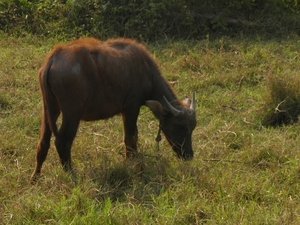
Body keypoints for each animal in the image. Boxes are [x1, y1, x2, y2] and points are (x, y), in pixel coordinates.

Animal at [29, 38, 196, 183]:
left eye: (192, 128)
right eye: (180, 127)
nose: (189, 155)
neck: (146, 70)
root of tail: (54, 58)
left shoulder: (125, 111)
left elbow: (133, 137)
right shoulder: (132, 107)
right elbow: (130, 138)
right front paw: (131, 165)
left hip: (50, 109)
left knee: (43, 142)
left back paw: (35, 177)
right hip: (72, 113)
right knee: (62, 141)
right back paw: (72, 175)